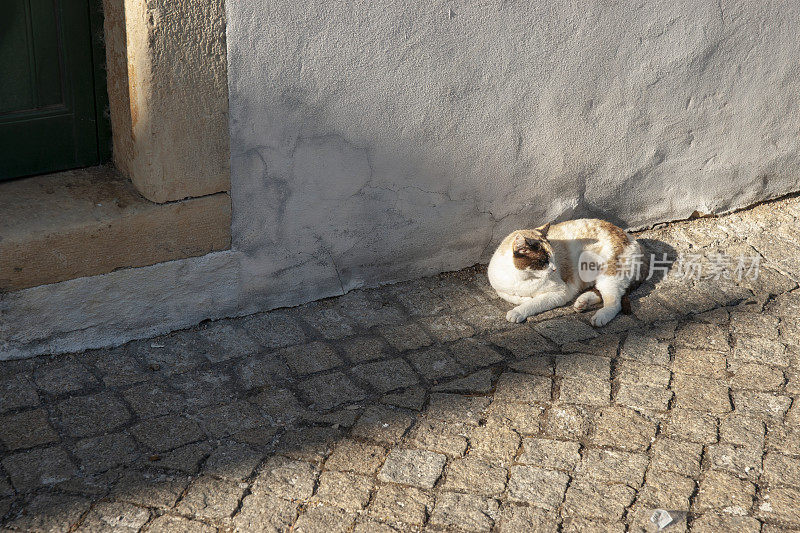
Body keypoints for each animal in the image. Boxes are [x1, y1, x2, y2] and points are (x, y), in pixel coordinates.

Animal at [488, 218, 644, 326]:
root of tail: (632, 238)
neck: (520, 278)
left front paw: (518, 311)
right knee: (599, 292)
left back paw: (599, 317)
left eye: (553, 257)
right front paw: (524, 298)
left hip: (608, 277)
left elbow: (533, 303)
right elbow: (510, 296)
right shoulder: (500, 289)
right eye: (543, 261)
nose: (554, 269)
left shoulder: (561, 292)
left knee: (614, 303)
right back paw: (582, 303)